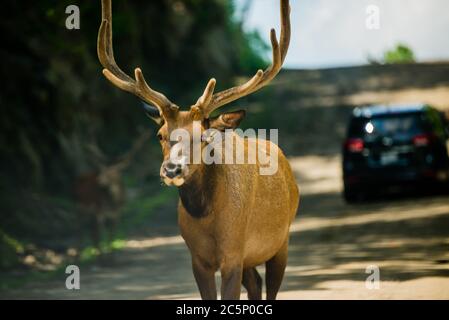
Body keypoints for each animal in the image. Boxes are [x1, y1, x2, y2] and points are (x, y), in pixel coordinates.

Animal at [100, 0, 300, 300]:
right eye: (160, 134)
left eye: (204, 137)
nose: (172, 169)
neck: (208, 221)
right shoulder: (198, 260)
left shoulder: (233, 253)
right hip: (253, 256)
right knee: (256, 283)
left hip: (281, 240)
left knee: (271, 288)